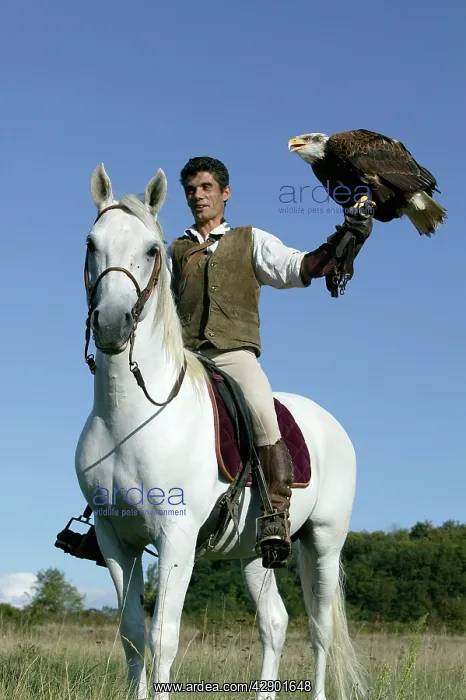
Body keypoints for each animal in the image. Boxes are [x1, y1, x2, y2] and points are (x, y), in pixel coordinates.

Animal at [75, 163, 367, 700]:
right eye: (91, 243)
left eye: (152, 249)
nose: (112, 324)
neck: (129, 417)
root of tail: (329, 423)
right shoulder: (115, 540)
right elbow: (132, 636)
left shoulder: (175, 536)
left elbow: (163, 637)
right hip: (255, 552)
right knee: (275, 622)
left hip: (324, 541)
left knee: (321, 629)